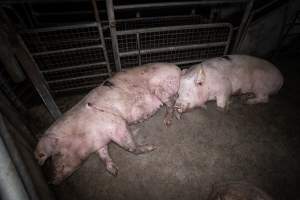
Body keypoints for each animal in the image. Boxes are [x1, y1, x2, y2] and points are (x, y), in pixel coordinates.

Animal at [35, 63, 180, 184]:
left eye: (53, 158)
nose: (49, 181)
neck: (83, 136)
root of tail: (177, 69)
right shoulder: (99, 142)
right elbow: (103, 155)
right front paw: (114, 172)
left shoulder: (114, 122)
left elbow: (130, 147)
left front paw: (152, 147)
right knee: (174, 101)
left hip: (161, 88)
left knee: (170, 103)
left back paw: (167, 122)